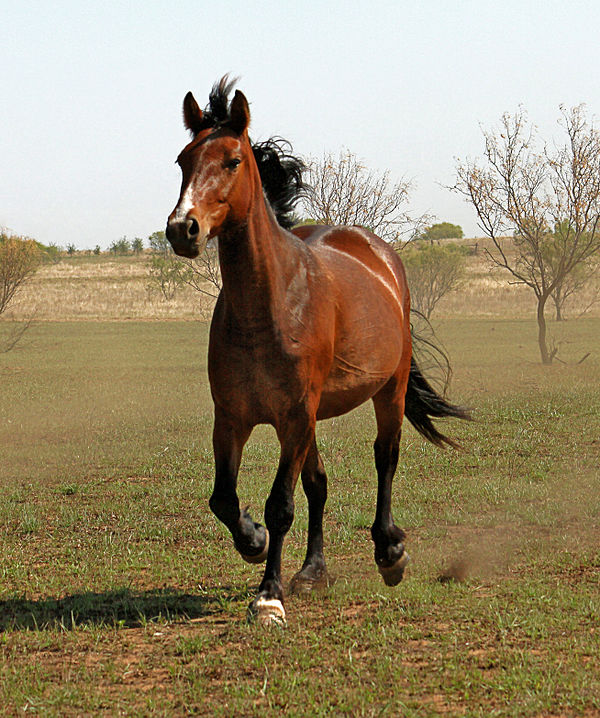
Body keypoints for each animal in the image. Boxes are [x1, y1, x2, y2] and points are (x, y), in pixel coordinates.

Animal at [166, 79, 472, 628]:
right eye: (183, 160)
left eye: (232, 161)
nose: (184, 228)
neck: (266, 308)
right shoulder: (234, 417)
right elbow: (225, 499)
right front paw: (253, 541)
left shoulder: (293, 415)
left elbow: (280, 505)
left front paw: (268, 596)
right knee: (319, 484)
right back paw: (312, 572)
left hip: (387, 392)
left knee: (385, 458)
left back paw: (389, 553)